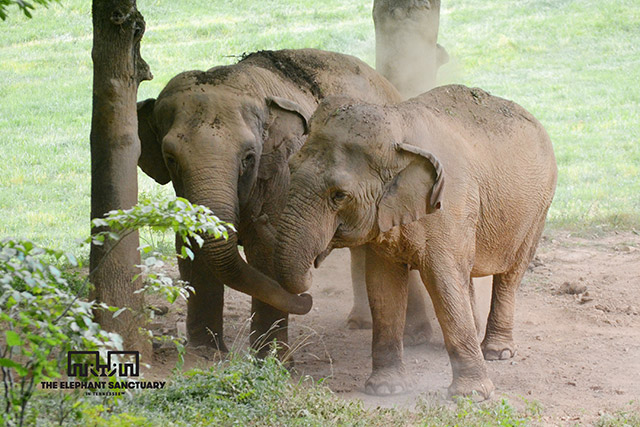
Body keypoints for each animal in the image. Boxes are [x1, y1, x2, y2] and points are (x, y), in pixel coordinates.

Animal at [137, 48, 432, 352]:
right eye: (171, 159)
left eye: (249, 157)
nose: (308, 298)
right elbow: (189, 246)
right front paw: (204, 351)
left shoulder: (282, 176)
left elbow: (265, 256)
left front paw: (270, 356)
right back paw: (358, 322)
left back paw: (416, 335)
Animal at [272, 85, 556, 400]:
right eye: (290, 168)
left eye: (340, 195)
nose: (313, 269)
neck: (398, 125)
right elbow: (383, 286)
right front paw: (386, 389)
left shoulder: (449, 206)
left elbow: (443, 281)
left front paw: (471, 395)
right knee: (467, 273)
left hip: (538, 209)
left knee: (510, 274)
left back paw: (497, 352)